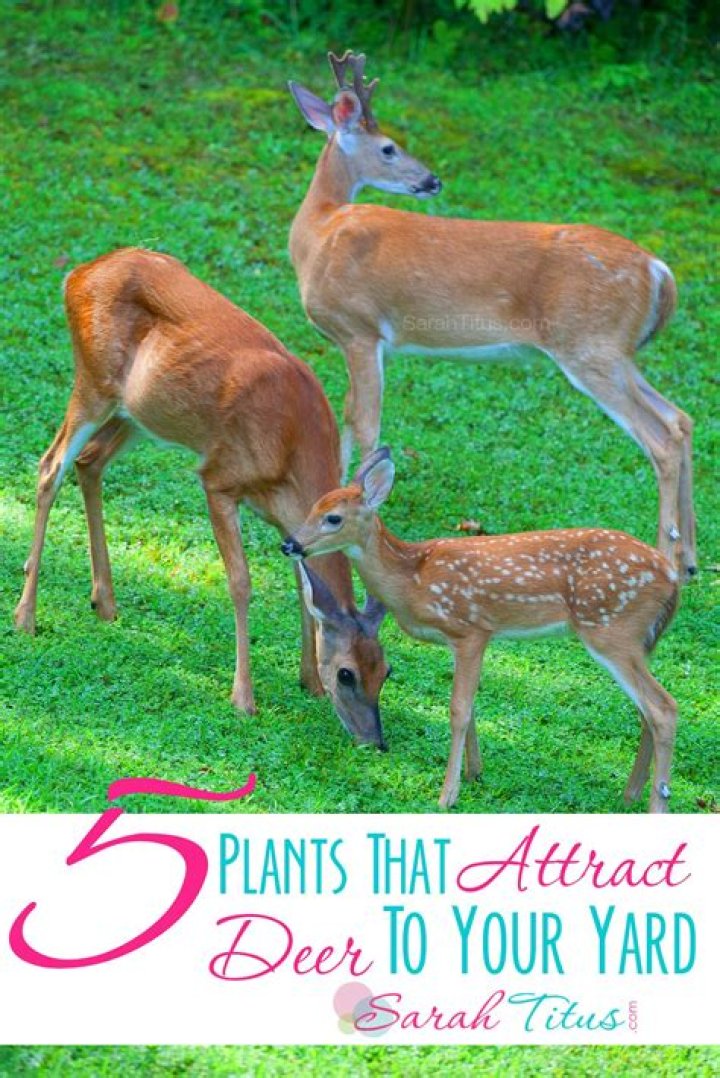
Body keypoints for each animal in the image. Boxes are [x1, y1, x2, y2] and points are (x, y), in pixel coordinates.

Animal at [13, 247, 390, 740]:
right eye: (347, 673)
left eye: (385, 671)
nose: (374, 741)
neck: (291, 447)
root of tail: (78, 273)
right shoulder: (219, 479)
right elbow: (241, 582)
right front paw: (244, 698)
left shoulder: (291, 523)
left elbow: (302, 590)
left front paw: (308, 680)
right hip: (93, 381)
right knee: (50, 467)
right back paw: (26, 617)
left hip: (137, 413)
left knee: (89, 462)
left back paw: (105, 603)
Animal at [282, 447, 680, 814]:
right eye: (312, 508)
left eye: (333, 518)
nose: (289, 544)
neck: (413, 577)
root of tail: (673, 578)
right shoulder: (465, 639)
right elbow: (472, 708)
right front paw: (474, 774)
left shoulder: (470, 629)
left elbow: (458, 709)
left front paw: (447, 795)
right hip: (636, 640)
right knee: (646, 712)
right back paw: (629, 795)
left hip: (612, 629)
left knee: (663, 708)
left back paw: (654, 805)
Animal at [287, 51, 696, 580]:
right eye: (390, 148)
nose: (432, 180)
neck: (320, 232)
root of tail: (659, 271)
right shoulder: (359, 341)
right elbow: (350, 411)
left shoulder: (360, 329)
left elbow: (364, 419)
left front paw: (353, 501)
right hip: (616, 352)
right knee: (680, 419)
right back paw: (692, 558)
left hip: (589, 346)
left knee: (661, 438)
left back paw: (668, 557)